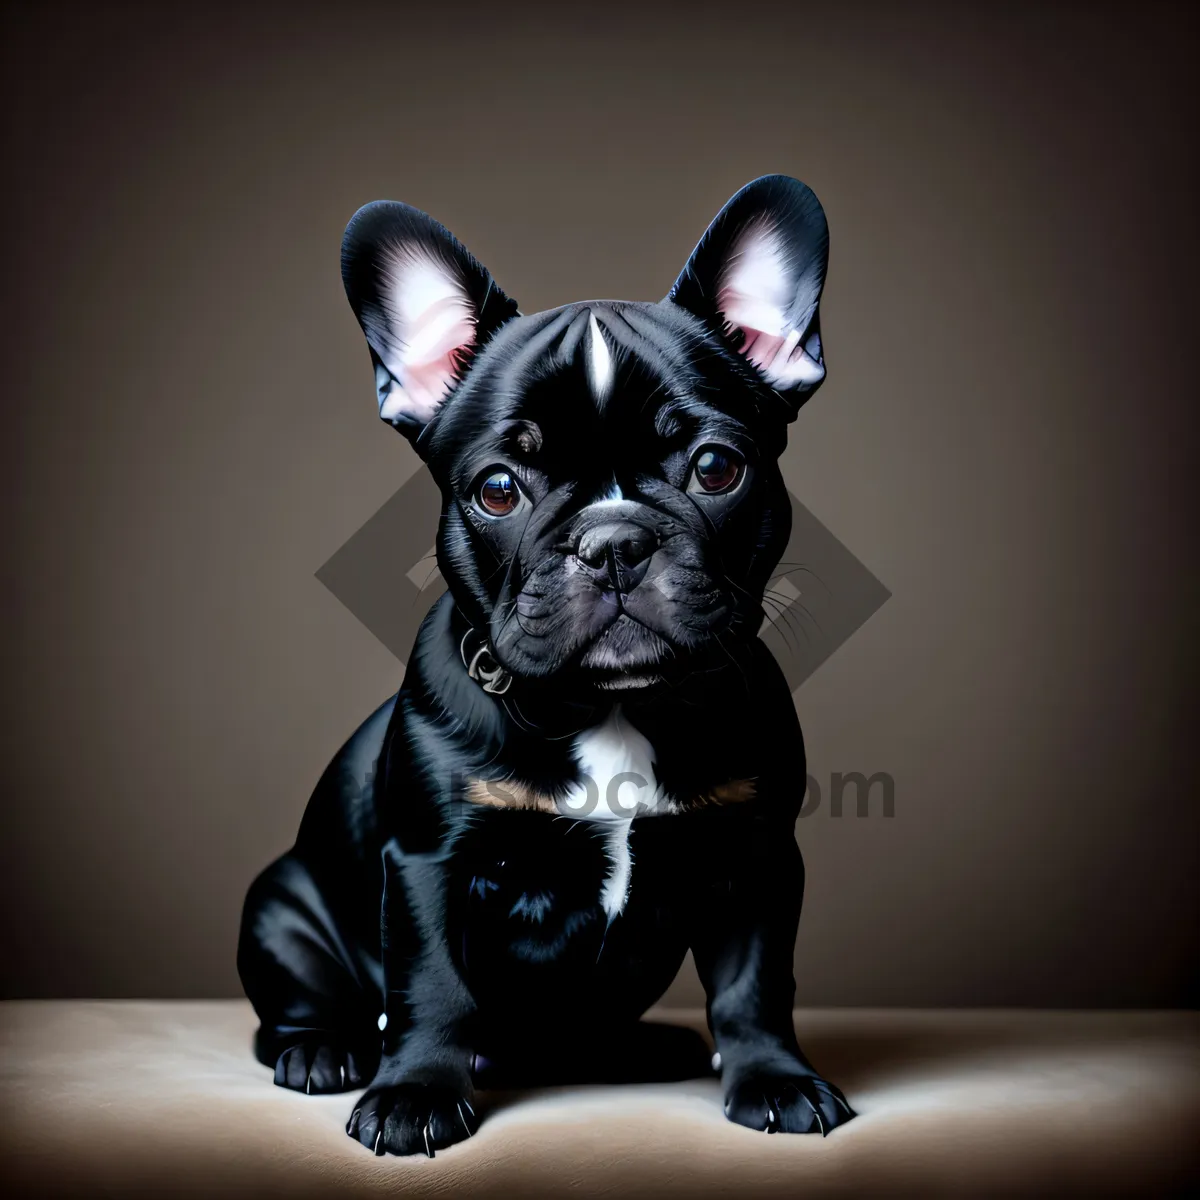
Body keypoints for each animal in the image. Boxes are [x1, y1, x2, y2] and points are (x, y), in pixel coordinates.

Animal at [236, 174, 854, 1156]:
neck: (609, 706)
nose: (614, 542)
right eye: (498, 488)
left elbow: (756, 985)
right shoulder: (431, 862)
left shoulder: (757, 856)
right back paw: (324, 1050)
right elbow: (432, 988)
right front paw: (414, 1095)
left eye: (716, 467)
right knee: (298, 1008)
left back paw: (643, 1046)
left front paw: (775, 1079)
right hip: (279, 907)